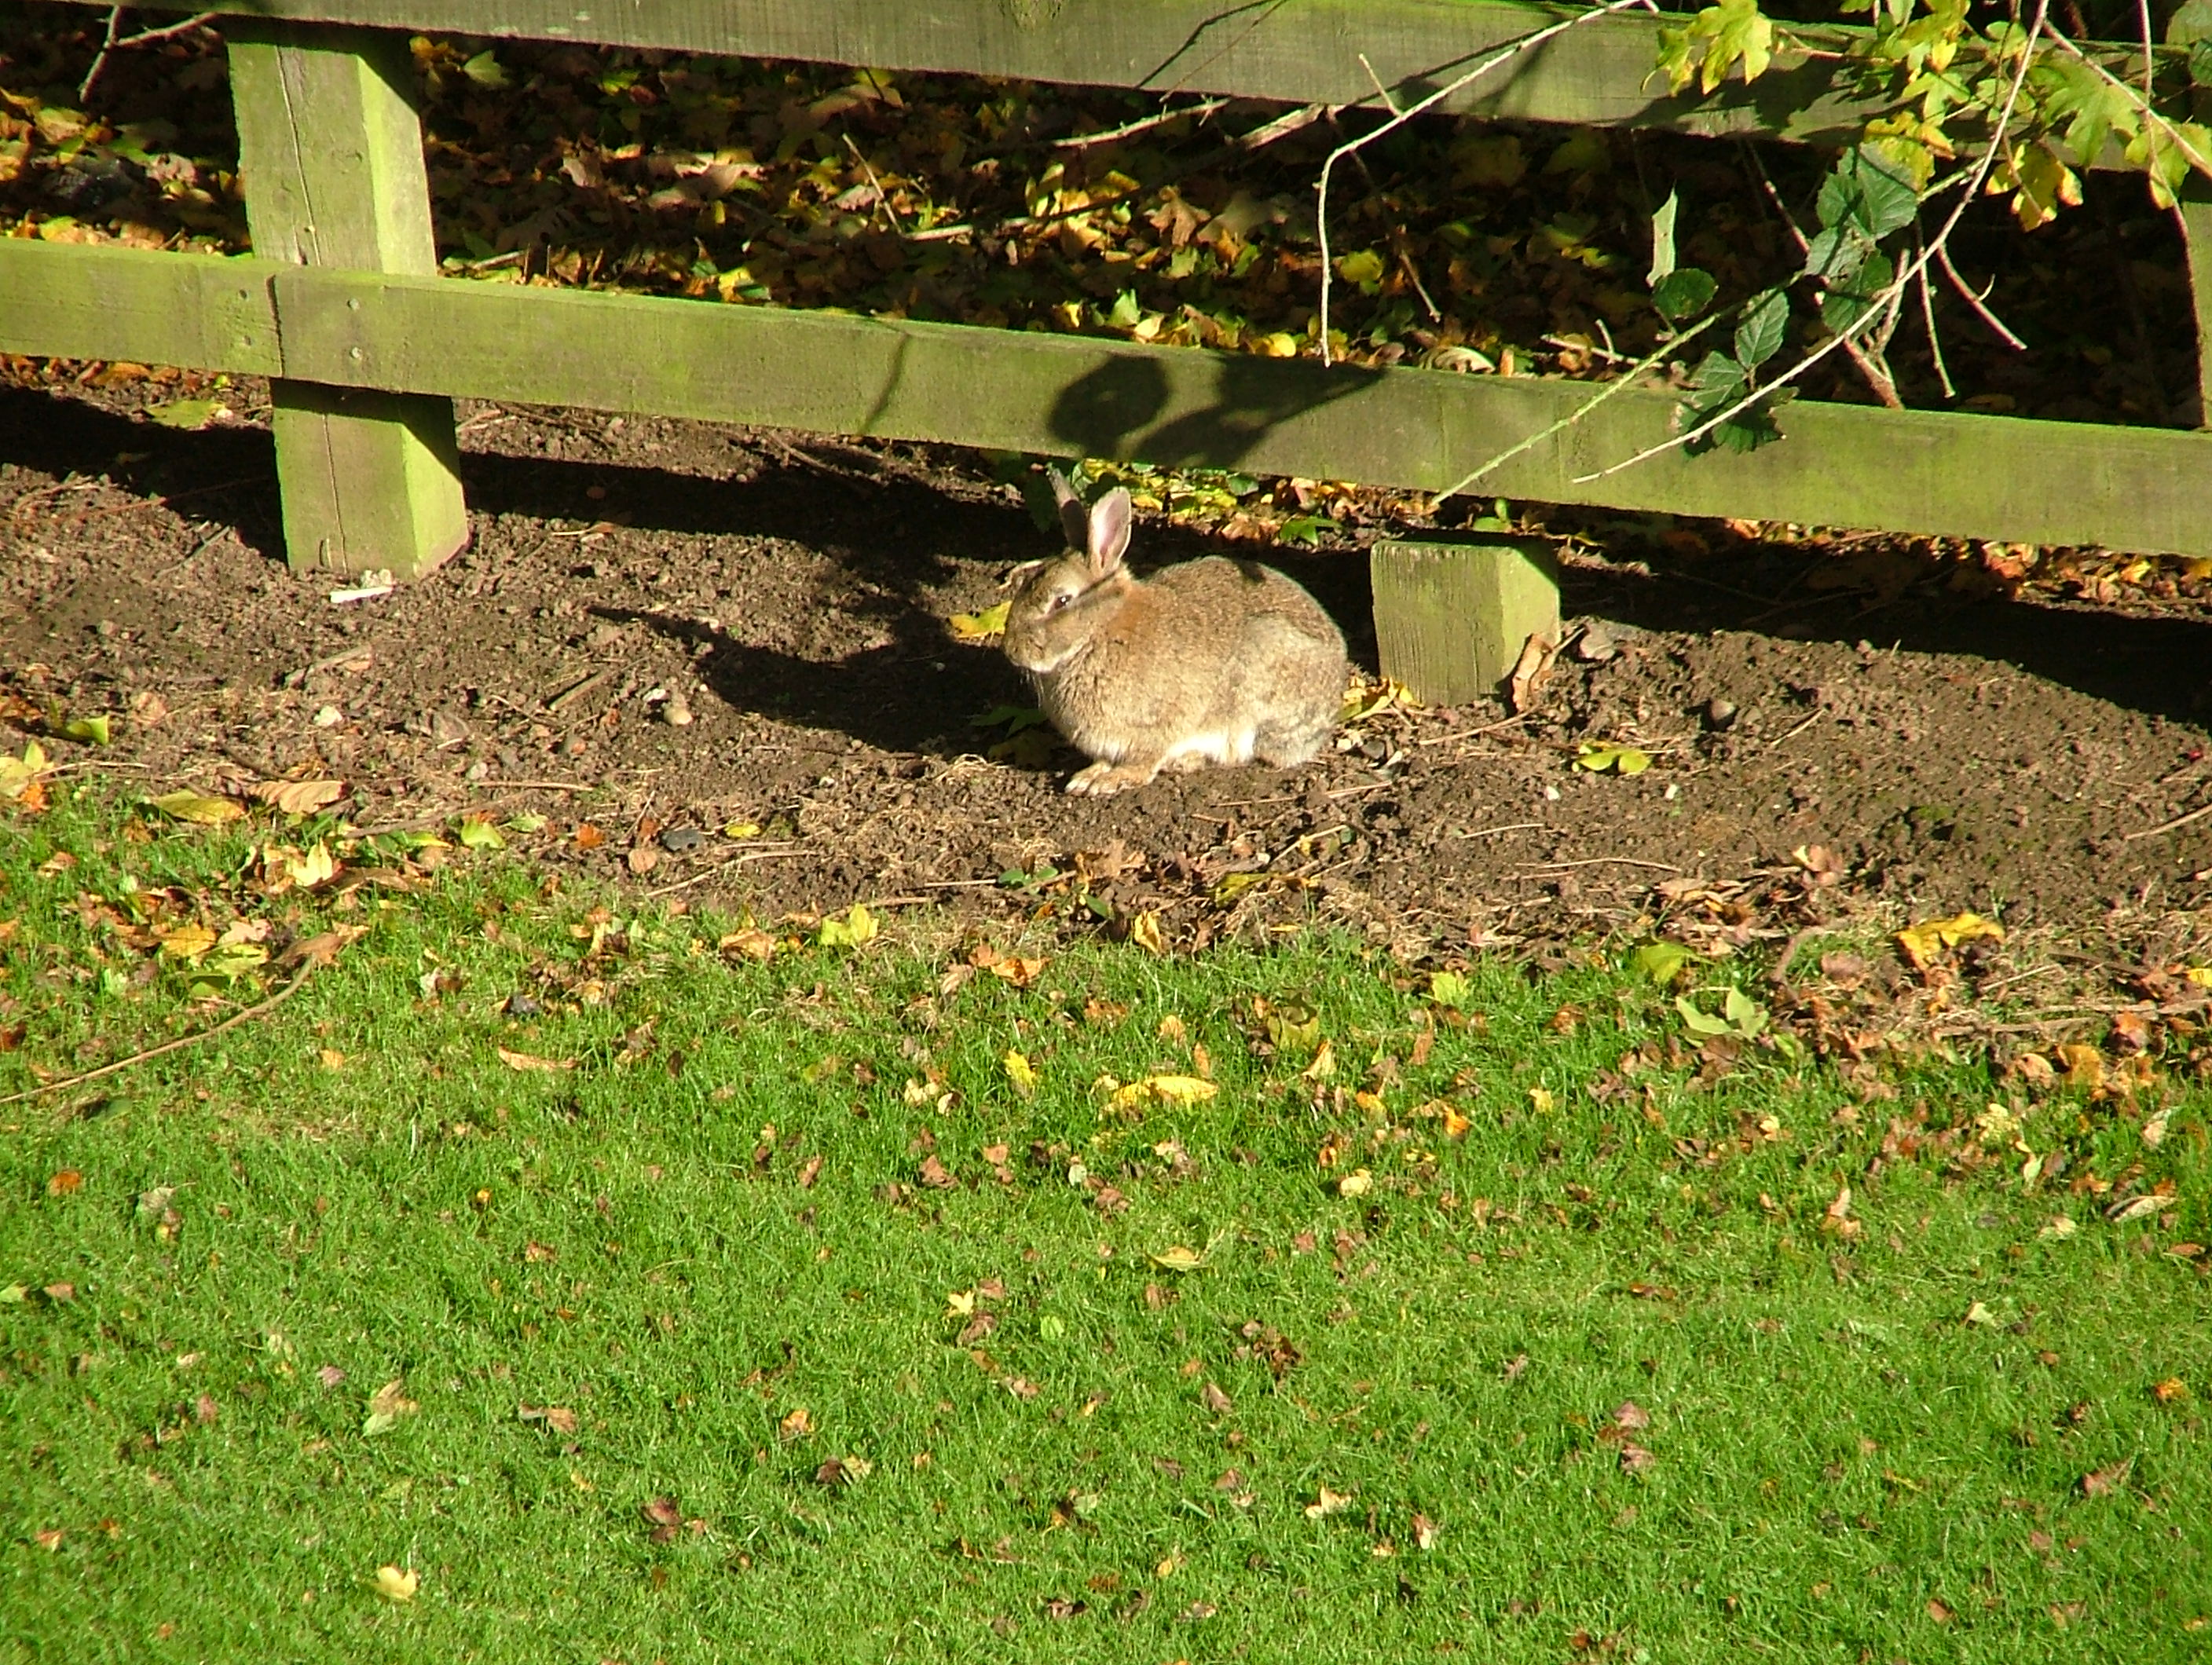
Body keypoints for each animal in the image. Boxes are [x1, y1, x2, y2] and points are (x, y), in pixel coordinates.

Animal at [1004, 470, 1345, 796]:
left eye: (1062, 601)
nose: (1011, 650)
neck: (1099, 629)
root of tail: (1335, 694)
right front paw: (1089, 775)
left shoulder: (1156, 727)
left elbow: (1145, 761)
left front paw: (1109, 781)